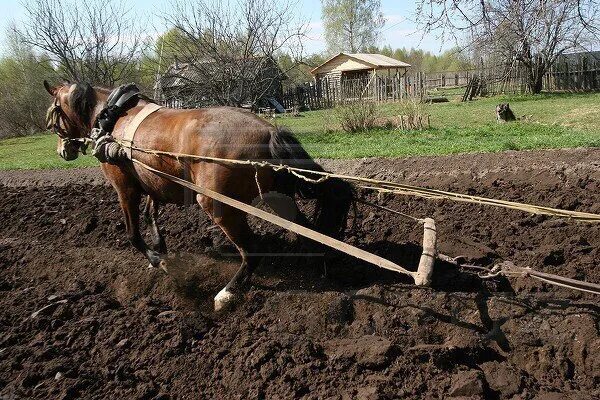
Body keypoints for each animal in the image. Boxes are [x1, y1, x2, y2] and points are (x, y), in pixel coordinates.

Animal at [44, 82, 354, 310]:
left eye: (53, 115)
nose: (62, 151)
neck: (112, 118)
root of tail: (269, 131)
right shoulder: (153, 182)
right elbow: (150, 213)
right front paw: (160, 248)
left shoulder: (125, 188)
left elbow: (132, 232)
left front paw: (157, 260)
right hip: (277, 197)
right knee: (306, 230)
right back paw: (323, 274)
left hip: (217, 204)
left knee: (251, 249)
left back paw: (227, 293)